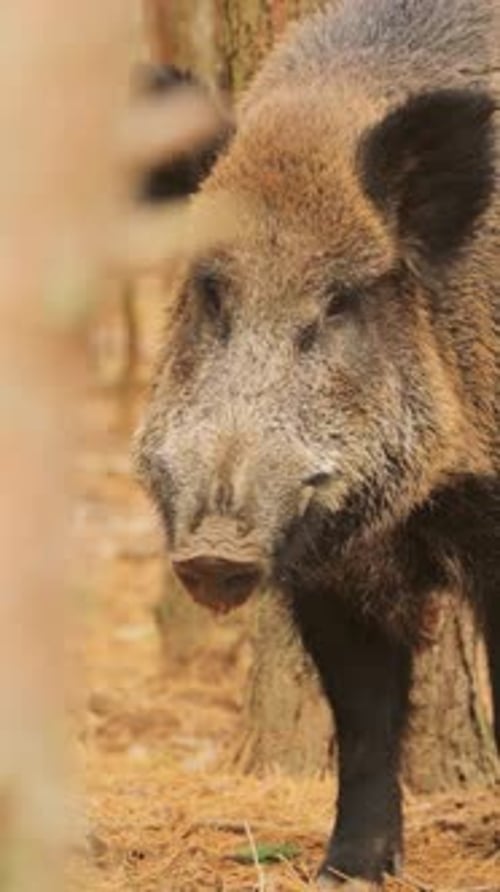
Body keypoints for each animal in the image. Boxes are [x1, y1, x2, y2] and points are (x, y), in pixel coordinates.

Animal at [135, 0, 499, 886]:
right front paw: (347, 872)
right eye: (210, 293)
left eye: (339, 302)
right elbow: (364, 718)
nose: (215, 551)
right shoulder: (331, 570)